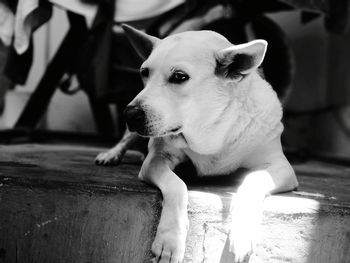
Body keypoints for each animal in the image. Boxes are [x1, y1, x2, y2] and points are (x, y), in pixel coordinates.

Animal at [95, 24, 298, 263]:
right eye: (144, 72)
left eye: (179, 76)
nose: (130, 114)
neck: (207, 131)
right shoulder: (156, 159)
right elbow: (177, 185)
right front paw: (170, 240)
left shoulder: (280, 166)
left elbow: (253, 181)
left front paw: (242, 234)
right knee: (126, 139)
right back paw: (110, 155)